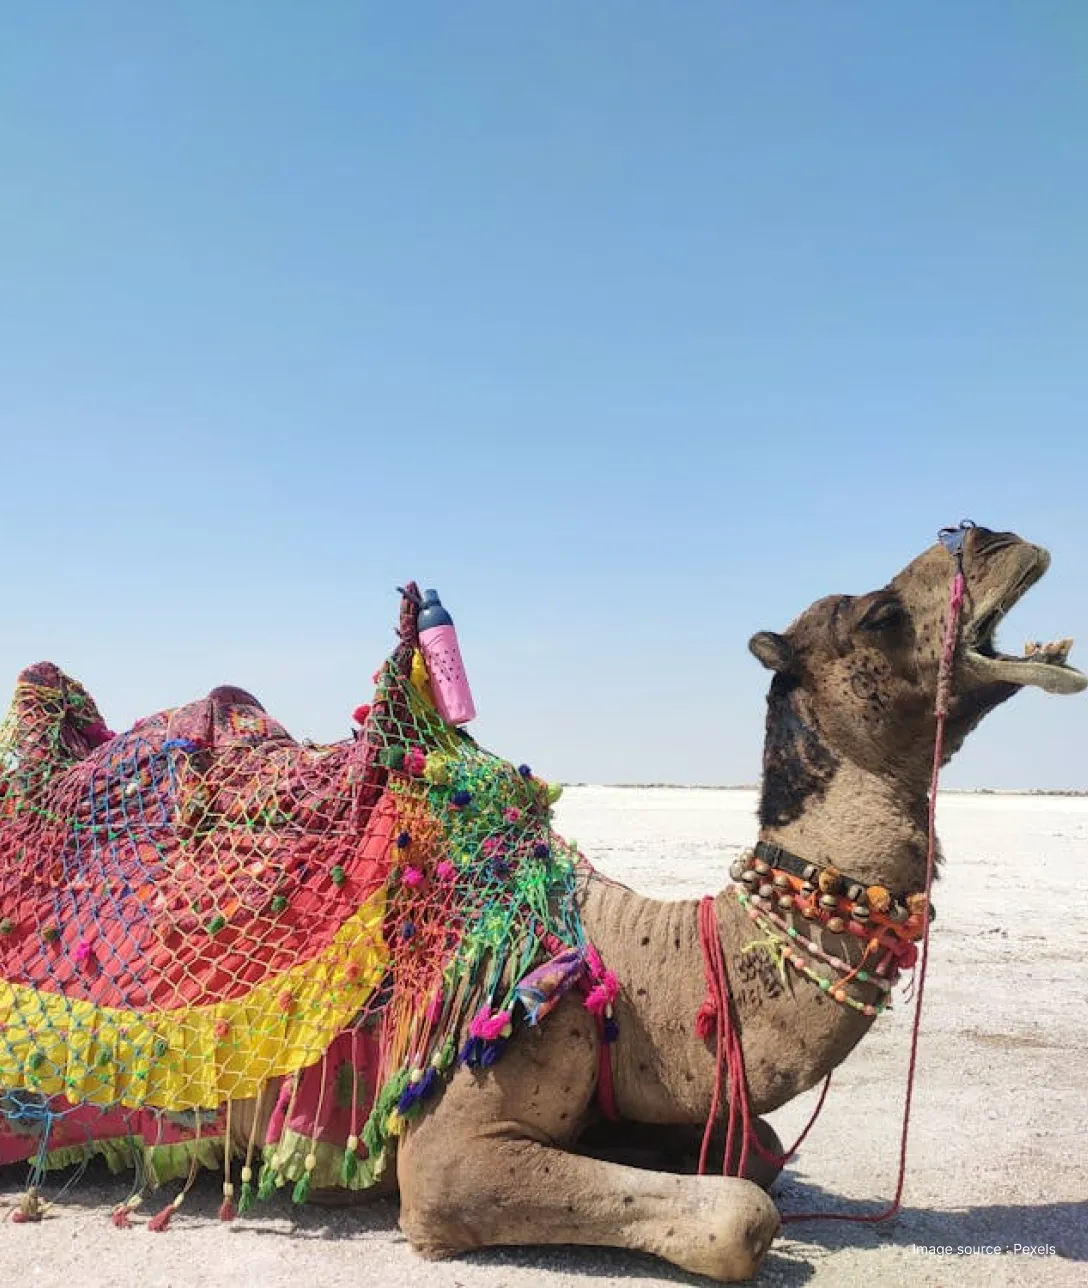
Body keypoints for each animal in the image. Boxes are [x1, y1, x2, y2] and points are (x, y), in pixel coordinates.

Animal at [3, 525, 1084, 1280]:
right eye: (876, 615)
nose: (996, 536)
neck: (635, 971)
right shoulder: (453, 1147)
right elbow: (742, 1210)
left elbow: (763, 1149)